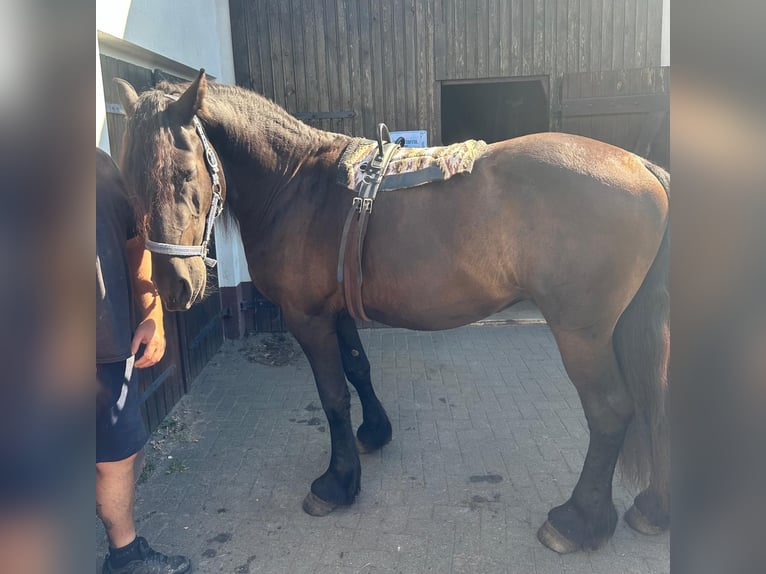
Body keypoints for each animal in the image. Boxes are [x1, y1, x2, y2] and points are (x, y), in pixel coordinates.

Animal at [115, 70, 672, 556]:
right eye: (129, 182)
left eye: (186, 172)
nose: (175, 287)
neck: (296, 185)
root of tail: (643, 167)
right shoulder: (334, 310)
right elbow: (358, 369)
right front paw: (373, 433)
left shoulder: (306, 318)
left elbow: (333, 395)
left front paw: (337, 483)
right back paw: (651, 508)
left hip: (582, 333)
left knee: (610, 411)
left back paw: (578, 521)